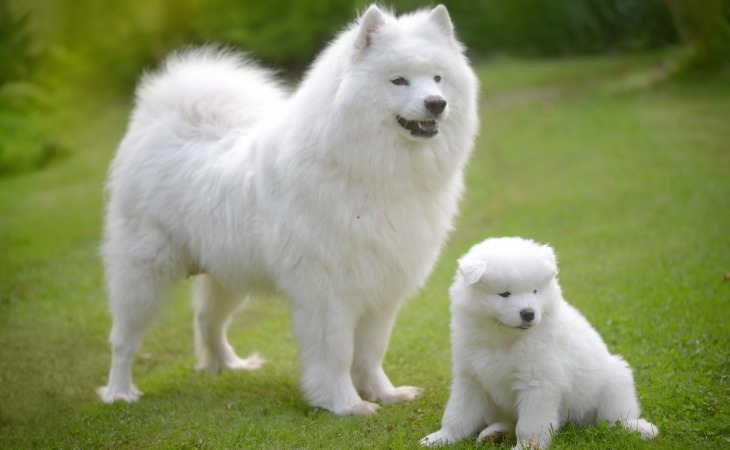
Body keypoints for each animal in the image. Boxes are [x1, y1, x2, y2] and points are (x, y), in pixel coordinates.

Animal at [96, 3, 478, 416]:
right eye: (399, 81)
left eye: (437, 78)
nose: (437, 103)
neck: (367, 168)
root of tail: (159, 122)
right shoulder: (327, 291)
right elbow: (337, 353)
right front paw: (346, 404)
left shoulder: (381, 288)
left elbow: (371, 352)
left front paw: (384, 393)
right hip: (143, 274)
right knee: (123, 339)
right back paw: (119, 391)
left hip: (227, 272)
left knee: (208, 320)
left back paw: (229, 365)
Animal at [418, 237, 656, 448]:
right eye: (504, 293)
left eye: (535, 291)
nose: (528, 313)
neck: (503, 339)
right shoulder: (470, 378)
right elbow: (457, 414)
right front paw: (441, 438)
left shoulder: (538, 383)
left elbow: (529, 426)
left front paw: (526, 447)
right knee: (507, 421)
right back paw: (492, 433)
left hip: (614, 379)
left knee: (616, 418)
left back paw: (638, 429)